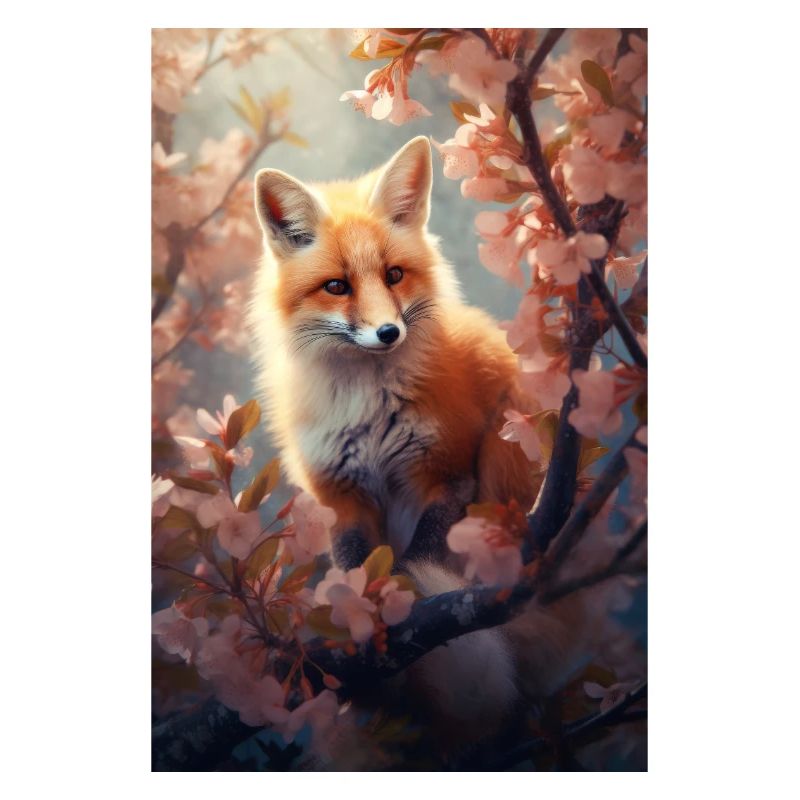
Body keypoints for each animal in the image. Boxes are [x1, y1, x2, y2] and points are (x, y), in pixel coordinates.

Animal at [247, 137, 592, 765]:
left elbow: (416, 560)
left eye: (394, 275)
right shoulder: (341, 497)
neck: (365, 406)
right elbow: (355, 568)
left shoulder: (446, 473)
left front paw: (399, 607)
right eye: (337, 286)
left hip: (506, 456)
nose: (389, 333)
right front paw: (358, 626)